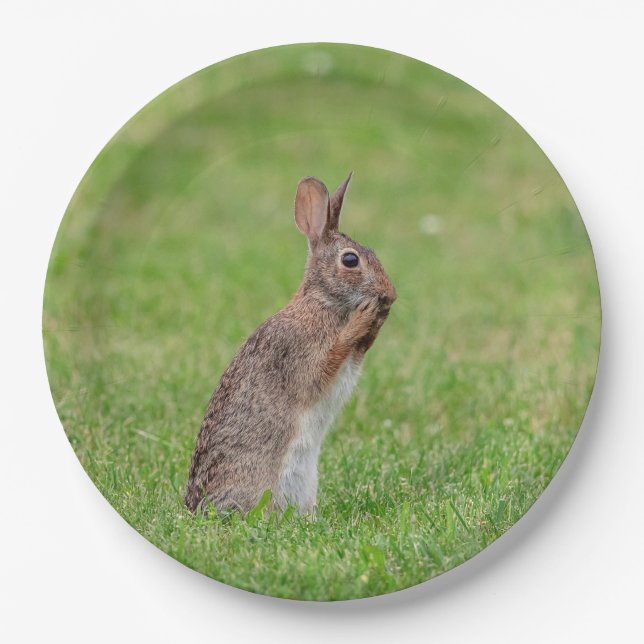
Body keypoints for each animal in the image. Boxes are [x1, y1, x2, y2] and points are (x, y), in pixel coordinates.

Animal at [185, 173, 396, 515]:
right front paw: (364, 316)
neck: (321, 302)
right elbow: (327, 363)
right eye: (351, 260)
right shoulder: (300, 354)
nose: (390, 294)